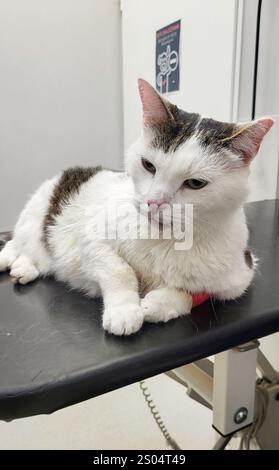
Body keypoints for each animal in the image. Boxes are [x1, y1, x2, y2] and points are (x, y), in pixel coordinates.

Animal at [0, 79, 276, 334]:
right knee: (18, 240)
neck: (165, 239)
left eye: (196, 183)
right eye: (148, 165)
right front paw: (125, 311)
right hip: (34, 217)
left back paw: (24, 267)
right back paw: (8, 259)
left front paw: (158, 304)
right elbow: (119, 270)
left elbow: (196, 293)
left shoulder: (241, 276)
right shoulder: (92, 239)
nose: (154, 202)